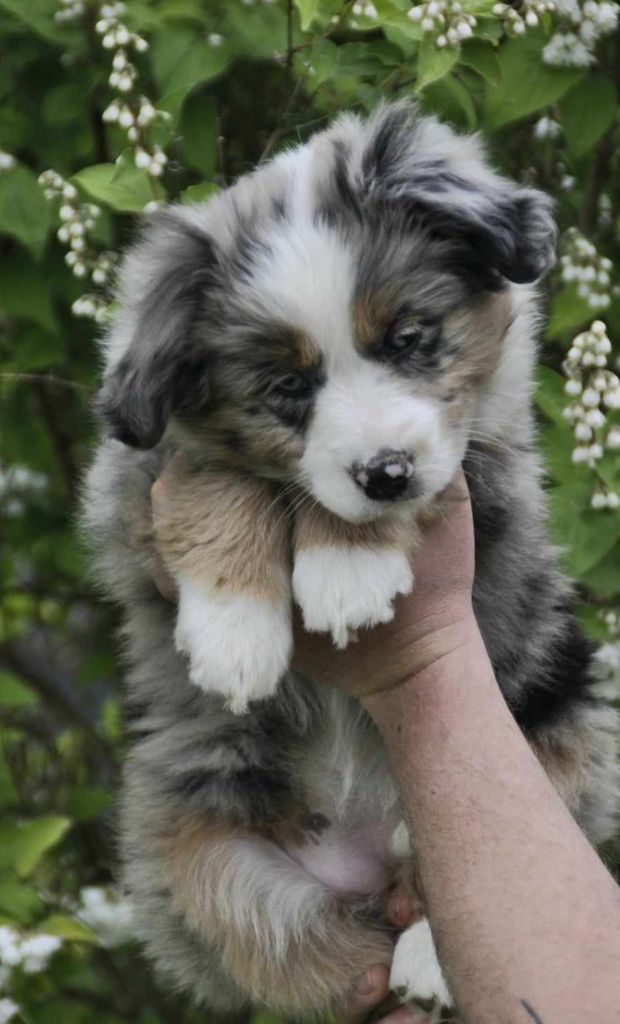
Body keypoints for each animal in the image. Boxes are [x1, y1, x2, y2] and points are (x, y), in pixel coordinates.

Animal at [83, 101, 618, 1015]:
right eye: (288, 389)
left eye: (407, 339)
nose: (383, 473)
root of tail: (364, 863)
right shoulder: (134, 483)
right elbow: (224, 481)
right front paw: (234, 638)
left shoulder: (479, 451)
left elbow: (381, 492)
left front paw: (347, 574)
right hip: (198, 853)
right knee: (320, 956)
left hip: (564, 713)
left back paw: (432, 956)